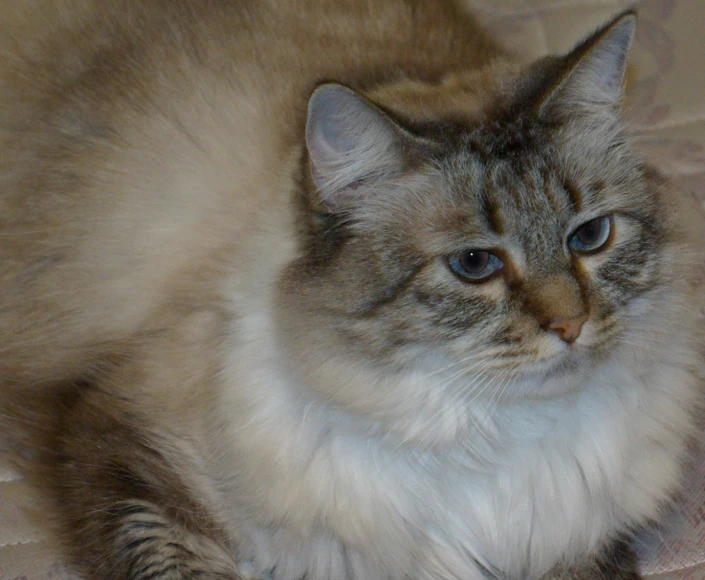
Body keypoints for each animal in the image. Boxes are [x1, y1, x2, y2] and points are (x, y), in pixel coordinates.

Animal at [1, 1, 704, 580]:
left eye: (590, 237)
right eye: (475, 264)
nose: (570, 325)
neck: (486, 436)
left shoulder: (575, 538)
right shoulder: (120, 440)